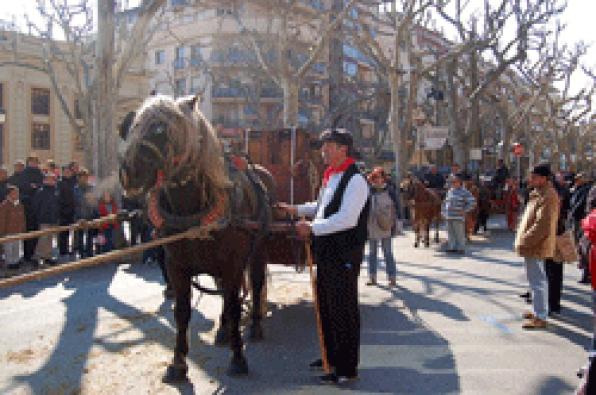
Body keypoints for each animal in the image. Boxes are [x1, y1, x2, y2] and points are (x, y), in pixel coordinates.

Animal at [119, 95, 278, 384]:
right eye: (132, 126)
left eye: (160, 129)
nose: (128, 173)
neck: (191, 211)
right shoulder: (177, 267)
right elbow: (182, 313)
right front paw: (178, 364)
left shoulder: (233, 263)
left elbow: (235, 305)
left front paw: (238, 359)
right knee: (227, 293)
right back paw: (224, 330)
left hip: (258, 251)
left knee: (255, 283)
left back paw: (254, 327)